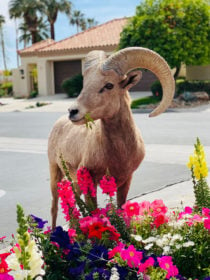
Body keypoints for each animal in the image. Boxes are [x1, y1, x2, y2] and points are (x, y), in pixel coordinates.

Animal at [48, 47, 175, 228]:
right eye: (85, 84)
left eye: (109, 85)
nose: (73, 111)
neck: (118, 154)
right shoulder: (89, 180)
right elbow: (93, 214)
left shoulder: (125, 181)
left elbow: (121, 209)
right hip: (54, 171)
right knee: (54, 208)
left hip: (72, 182)